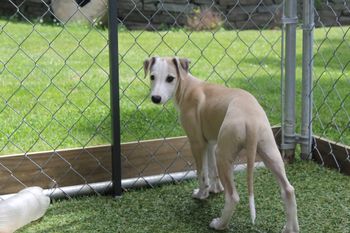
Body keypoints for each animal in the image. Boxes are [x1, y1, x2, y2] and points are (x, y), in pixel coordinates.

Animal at [144, 57, 300, 233]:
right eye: (152, 77)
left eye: (170, 78)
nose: (155, 98)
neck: (188, 86)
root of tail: (250, 120)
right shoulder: (211, 142)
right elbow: (213, 170)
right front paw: (216, 189)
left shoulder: (197, 142)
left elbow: (202, 173)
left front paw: (202, 194)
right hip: (268, 152)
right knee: (288, 189)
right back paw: (291, 228)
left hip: (224, 155)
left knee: (233, 197)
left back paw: (219, 224)